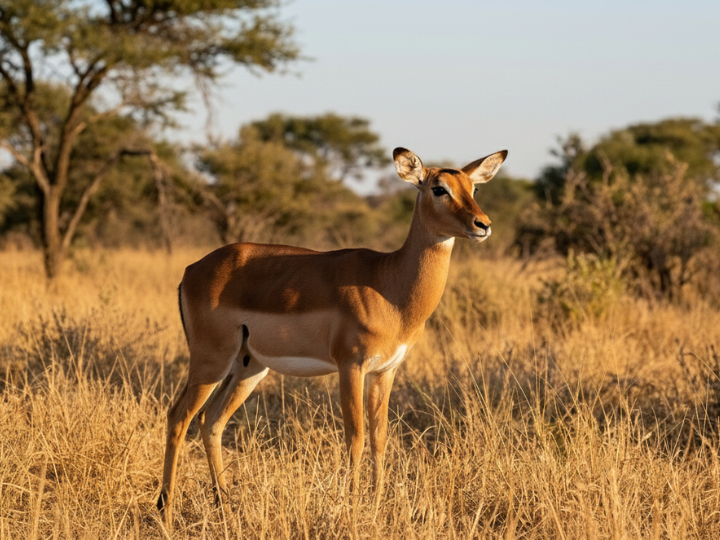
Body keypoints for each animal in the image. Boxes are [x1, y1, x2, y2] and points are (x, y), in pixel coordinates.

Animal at [157, 147, 508, 522]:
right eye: (439, 188)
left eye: (473, 187)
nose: (483, 225)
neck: (389, 285)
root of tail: (191, 271)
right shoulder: (350, 366)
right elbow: (355, 435)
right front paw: (353, 508)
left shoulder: (385, 371)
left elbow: (380, 436)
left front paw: (376, 503)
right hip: (210, 361)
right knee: (178, 417)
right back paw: (166, 508)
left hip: (248, 368)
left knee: (211, 421)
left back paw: (224, 502)